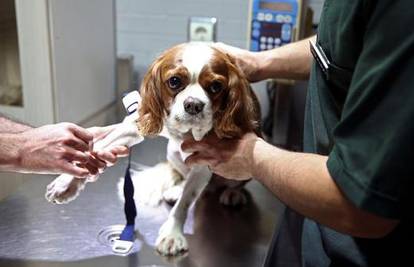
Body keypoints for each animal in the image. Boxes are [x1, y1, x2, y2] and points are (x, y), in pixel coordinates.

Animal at [137, 42, 260, 255]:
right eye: (174, 81)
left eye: (216, 86)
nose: (193, 105)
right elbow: (186, 193)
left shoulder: (204, 164)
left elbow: (185, 201)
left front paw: (172, 234)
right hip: (172, 153)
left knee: (234, 184)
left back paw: (233, 193)